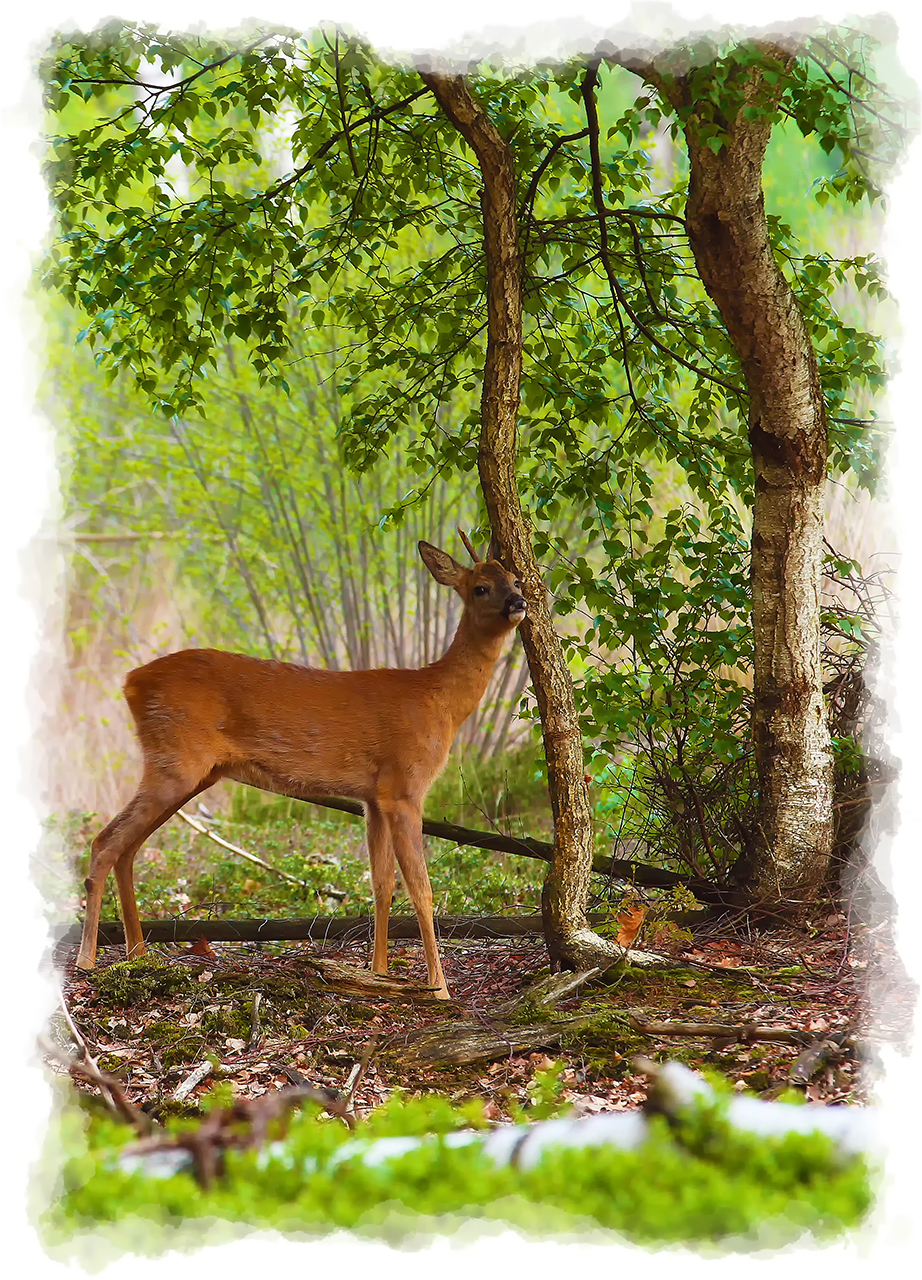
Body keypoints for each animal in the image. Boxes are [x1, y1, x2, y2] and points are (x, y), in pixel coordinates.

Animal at [73, 529, 525, 998]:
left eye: (517, 579)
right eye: (480, 587)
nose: (519, 602)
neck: (439, 701)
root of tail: (130, 682)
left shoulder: (373, 797)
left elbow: (381, 885)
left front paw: (379, 974)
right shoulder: (404, 787)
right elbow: (422, 888)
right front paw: (440, 988)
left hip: (190, 772)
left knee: (127, 848)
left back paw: (138, 954)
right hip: (175, 763)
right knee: (105, 841)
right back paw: (88, 959)